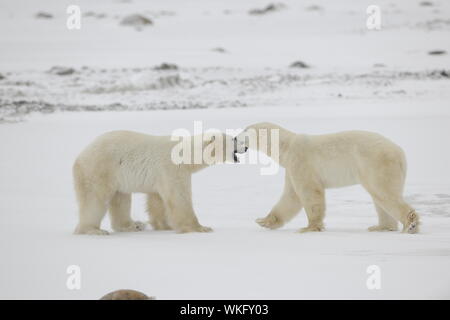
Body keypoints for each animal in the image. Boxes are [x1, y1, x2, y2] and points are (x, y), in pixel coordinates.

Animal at [73, 130, 236, 235]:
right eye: (233, 140)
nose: (241, 143)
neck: (185, 154)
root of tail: (79, 156)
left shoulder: (159, 176)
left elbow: (157, 200)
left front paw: (164, 225)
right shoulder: (172, 168)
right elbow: (179, 197)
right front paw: (200, 228)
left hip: (117, 175)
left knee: (121, 198)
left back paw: (133, 225)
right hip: (99, 169)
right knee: (94, 200)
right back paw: (93, 230)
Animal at [234, 122, 420, 235]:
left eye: (244, 131)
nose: (234, 138)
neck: (286, 146)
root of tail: (400, 152)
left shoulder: (301, 160)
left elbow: (309, 192)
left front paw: (309, 227)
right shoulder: (291, 168)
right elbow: (290, 197)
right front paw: (264, 221)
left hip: (377, 163)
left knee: (384, 193)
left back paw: (410, 224)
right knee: (380, 198)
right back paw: (381, 227)